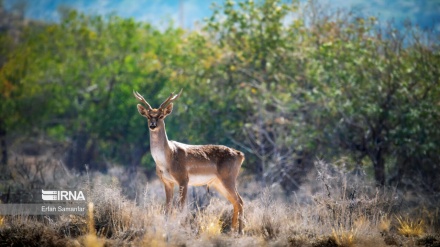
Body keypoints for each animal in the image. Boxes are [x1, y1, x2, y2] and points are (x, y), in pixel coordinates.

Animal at [132, 89, 246, 233]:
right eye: (148, 116)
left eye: (161, 116)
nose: (152, 125)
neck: (167, 158)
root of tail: (240, 154)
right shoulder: (167, 182)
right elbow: (167, 208)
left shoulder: (183, 179)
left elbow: (181, 208)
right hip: (218, 183)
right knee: (235, 202)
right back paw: (232, 230)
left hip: (228, 178)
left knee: (240, 201)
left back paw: (240, 231)